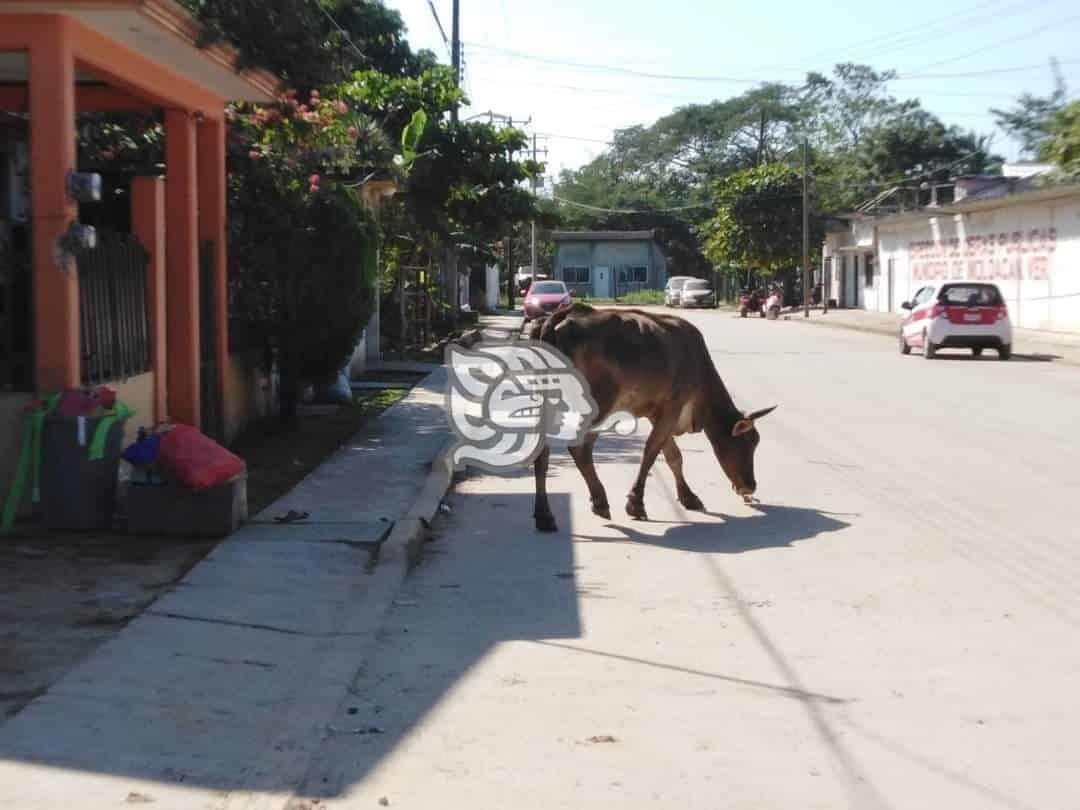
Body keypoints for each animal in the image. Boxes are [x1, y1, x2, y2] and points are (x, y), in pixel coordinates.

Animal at [527, 304, 773, 533]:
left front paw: (688, 497)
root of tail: (562, 315)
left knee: (542, 455)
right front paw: (636, 504)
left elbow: (673, 456)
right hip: (599, 404)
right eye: (747, 443)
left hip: (548, 404)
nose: (751, 486)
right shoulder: (672, 407)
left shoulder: (658, 413)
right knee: (580, 448)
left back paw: (545, 515)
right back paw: (599, 502)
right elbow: (652, 452)